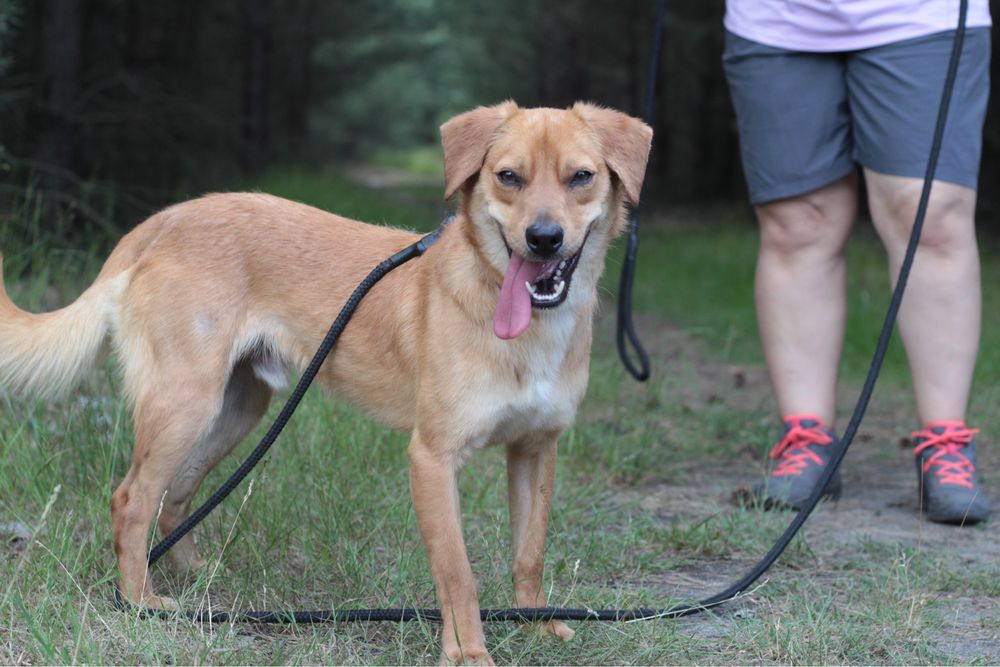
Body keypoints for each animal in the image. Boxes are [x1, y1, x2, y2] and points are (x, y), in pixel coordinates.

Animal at [0, 102, 652, 664]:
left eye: (581, 177)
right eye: (508, 177)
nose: (543, 238)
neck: (527, 328)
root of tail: (167, 218)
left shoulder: (535, 450)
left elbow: (529, 553)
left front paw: (536, 623)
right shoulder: (432, 459)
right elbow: (458, 573)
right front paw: (467, 652)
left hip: (237, 410)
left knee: (177, 497)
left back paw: (195, 585)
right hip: (185, 404)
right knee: (133, 499)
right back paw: (141, 603)